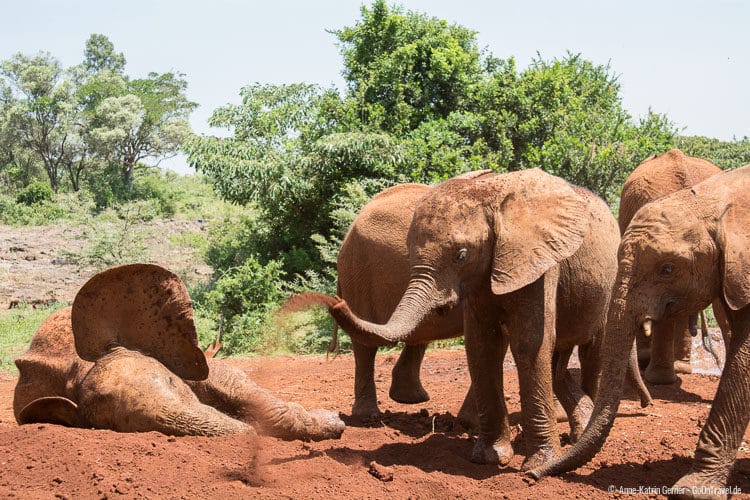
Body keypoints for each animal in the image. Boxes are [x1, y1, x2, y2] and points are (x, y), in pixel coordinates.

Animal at [14, 262, 346, 442]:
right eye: (121, 426)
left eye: (172, 382)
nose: (250, 433)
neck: (78, 367)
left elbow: (234, 384)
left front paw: (333, 423)